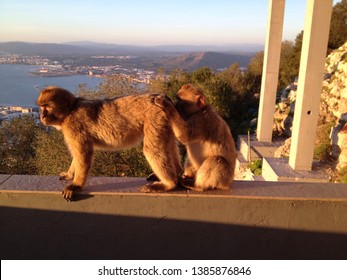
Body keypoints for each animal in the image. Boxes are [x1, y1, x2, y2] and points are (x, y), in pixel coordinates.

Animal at [36, 86, 184, 200]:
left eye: (46, 107)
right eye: (41, 107)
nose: (42, 116)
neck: (70, 111)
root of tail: (162, 97)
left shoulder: (74, 127)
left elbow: (83, 154)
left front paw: (76, 185)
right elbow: (77, 156)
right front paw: (69, 175)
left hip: (155, 116)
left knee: (152, 149)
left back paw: (169, 184)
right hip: (164, 118)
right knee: (169, 144)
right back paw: (177, 174)